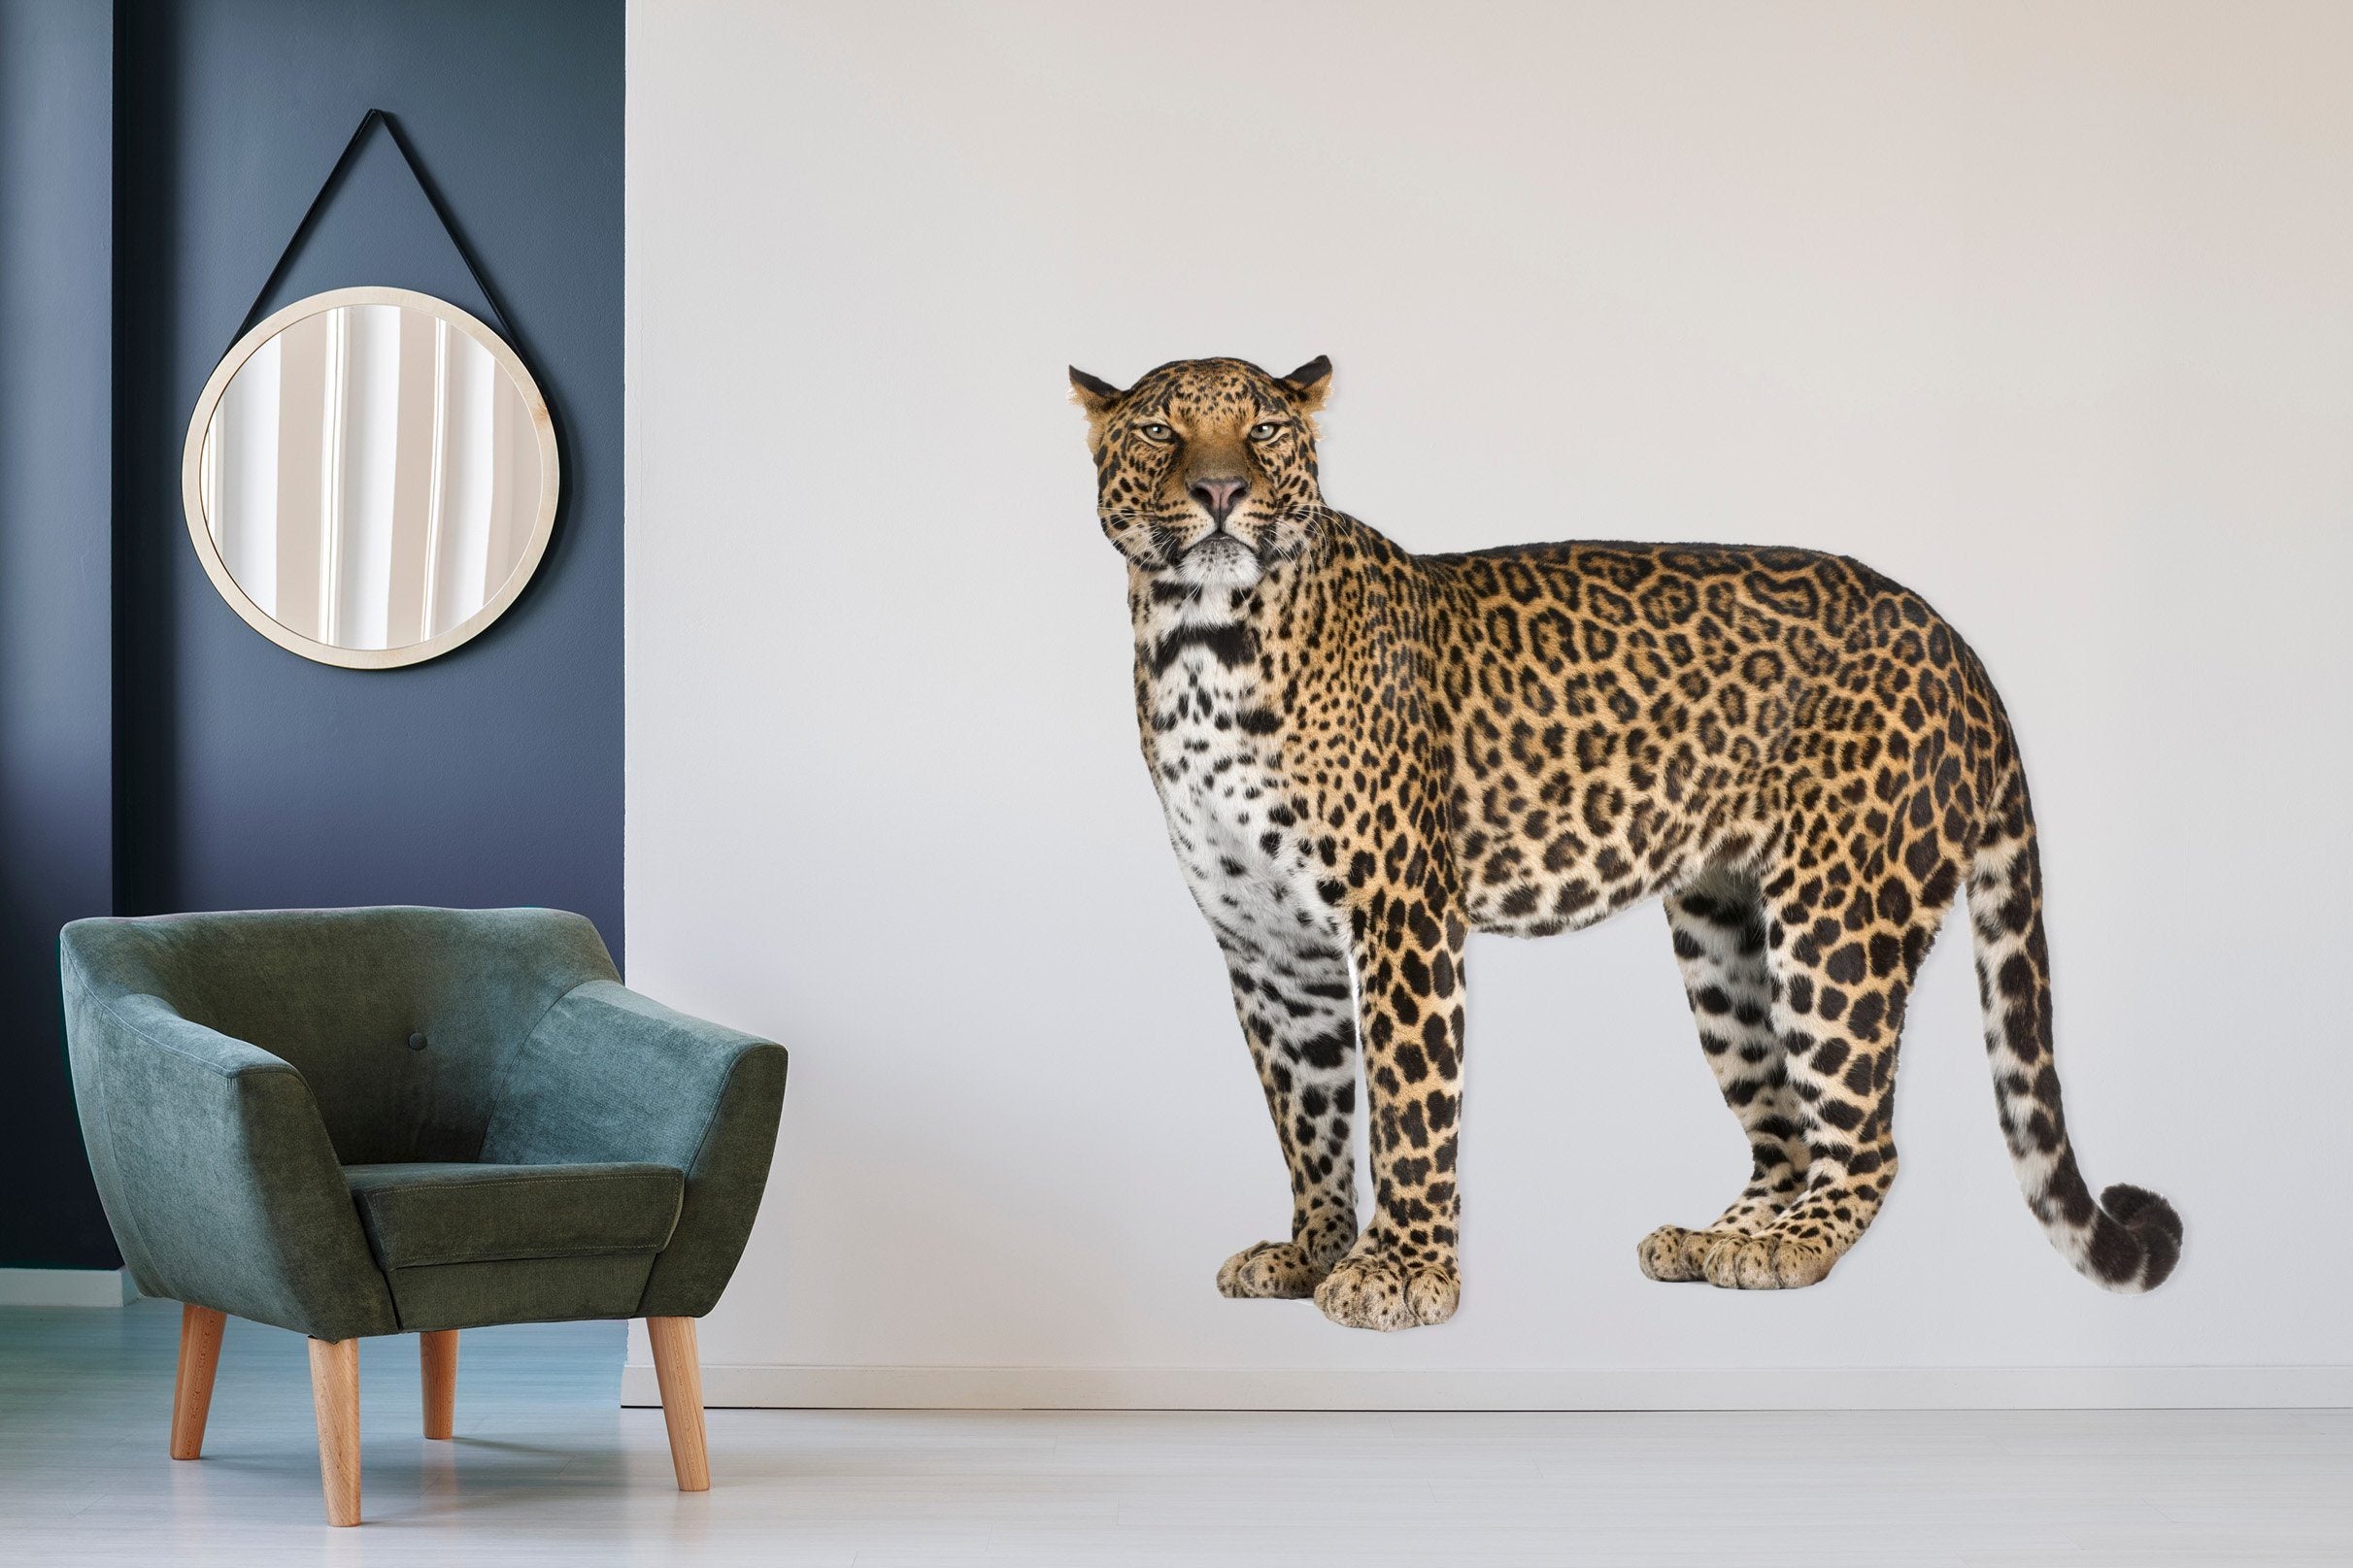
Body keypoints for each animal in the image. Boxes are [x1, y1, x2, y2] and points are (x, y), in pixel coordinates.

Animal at [1071, 354, 2184, 1331]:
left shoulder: (1402, 916)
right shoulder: (1268, 946)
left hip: (1836, 922)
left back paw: (1790, 1248)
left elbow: (1408, 1108)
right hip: (1722, 936)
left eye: (1262, 428)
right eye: (1161, 430)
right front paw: (1310, 1252)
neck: (1199, 644)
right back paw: (1721, 1238)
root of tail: (1958, 645)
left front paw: (1403, 1273)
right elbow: (1309, 1114)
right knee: (1783, 1131)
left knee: (1864, 1141)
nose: (1221, 490)